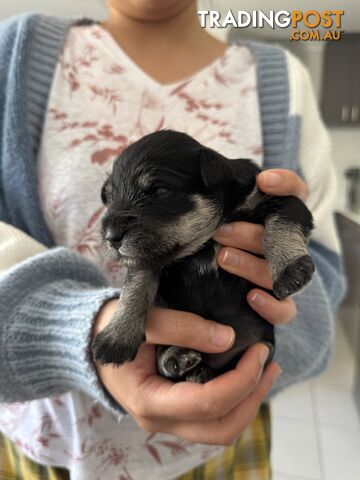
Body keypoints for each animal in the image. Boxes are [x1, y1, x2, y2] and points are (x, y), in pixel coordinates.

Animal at [93, 128, 316, 382]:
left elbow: (281, 222)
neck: (204, 240)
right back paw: (176, 358)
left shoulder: (277, 198)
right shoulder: (147, 257)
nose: (111, 236)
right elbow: (135, 285)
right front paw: (116, 336)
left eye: (160, 190)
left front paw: (290, 269)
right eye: (108, 198)